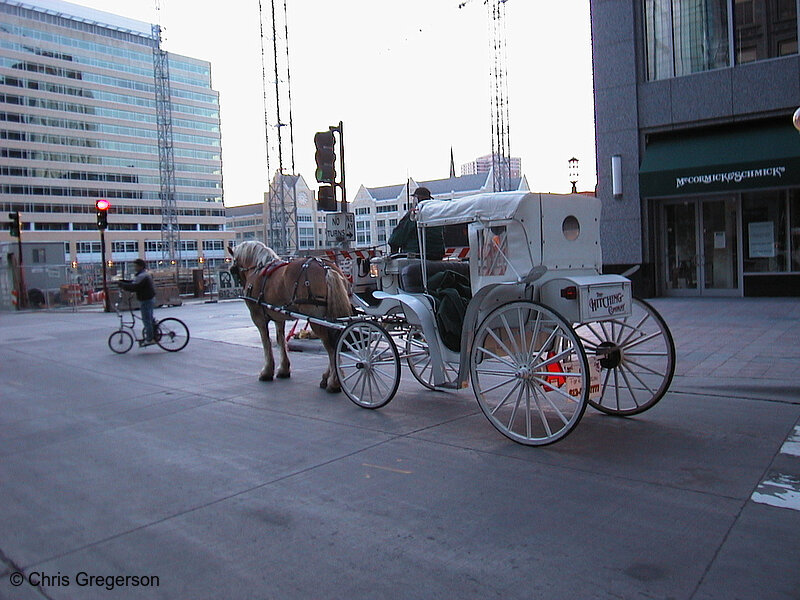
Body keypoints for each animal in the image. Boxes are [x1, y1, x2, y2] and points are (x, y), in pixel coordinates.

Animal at [225, 241, 350, 392]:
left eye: (233, 269)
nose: (240, 284)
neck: (258, 269)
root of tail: (327, 268)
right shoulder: (279, 317)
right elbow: (281, 340)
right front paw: (283, 369)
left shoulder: (258, 317)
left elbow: (266, 341)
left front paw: (267, 371)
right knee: (335, 343)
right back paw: (329, 376)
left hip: (317, 319)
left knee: (331, 348)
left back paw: (334, 382)